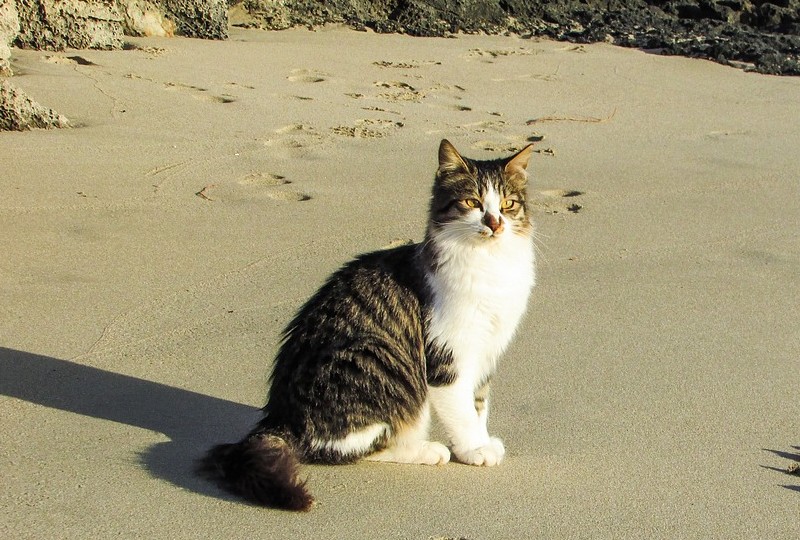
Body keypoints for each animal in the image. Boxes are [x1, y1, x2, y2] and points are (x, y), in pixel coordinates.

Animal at [197, 139, 536, 510]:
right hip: (380, 363)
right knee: (353, 448)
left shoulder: (488, 350)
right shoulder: (447, 353)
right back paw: (426, 451)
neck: (489, 265)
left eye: (508, 204)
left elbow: (479, 404)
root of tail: (280, 417)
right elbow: (461, 411)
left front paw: (482, 438)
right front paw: (474, 449)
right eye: (472, 202)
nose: (495, 223)